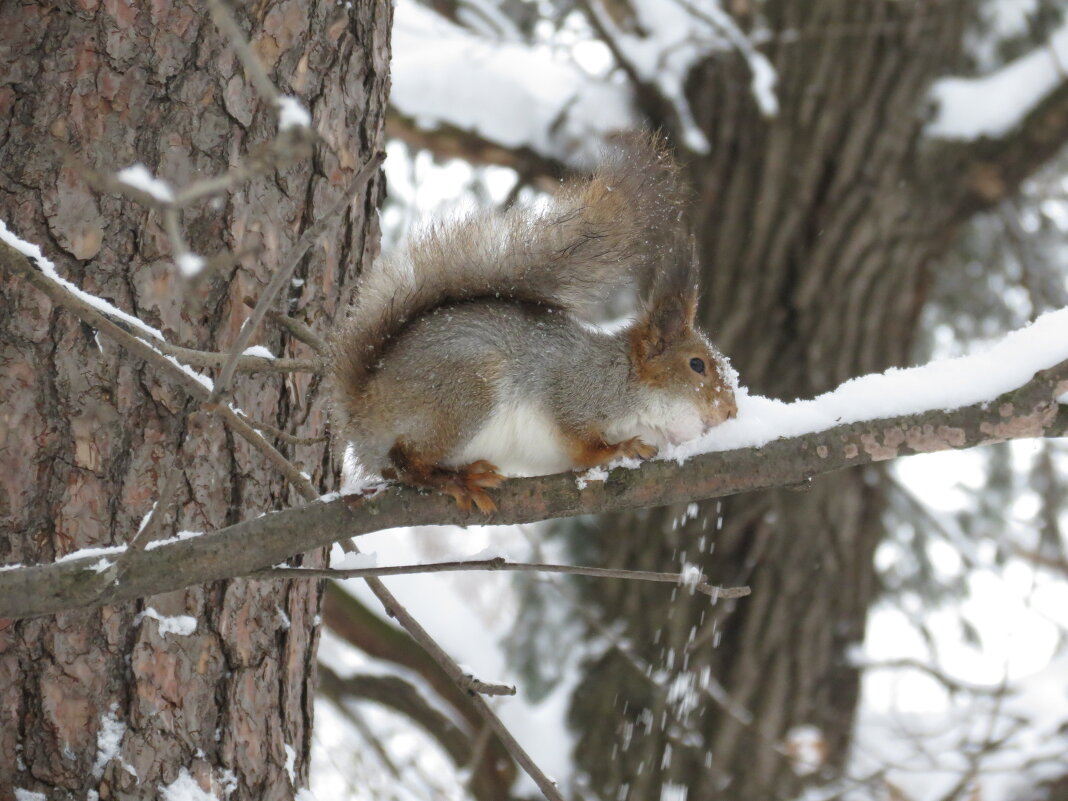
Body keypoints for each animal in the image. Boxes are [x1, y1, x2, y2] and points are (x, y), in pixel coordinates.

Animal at [328, 135, 739, 514]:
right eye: (697, 365)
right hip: (463, 392)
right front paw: (619, 448)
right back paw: (456, 480)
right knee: (406, 459)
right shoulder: (574, 394)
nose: (730, 412)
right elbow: (581, 446)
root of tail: (363, 411)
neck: (627, 379)